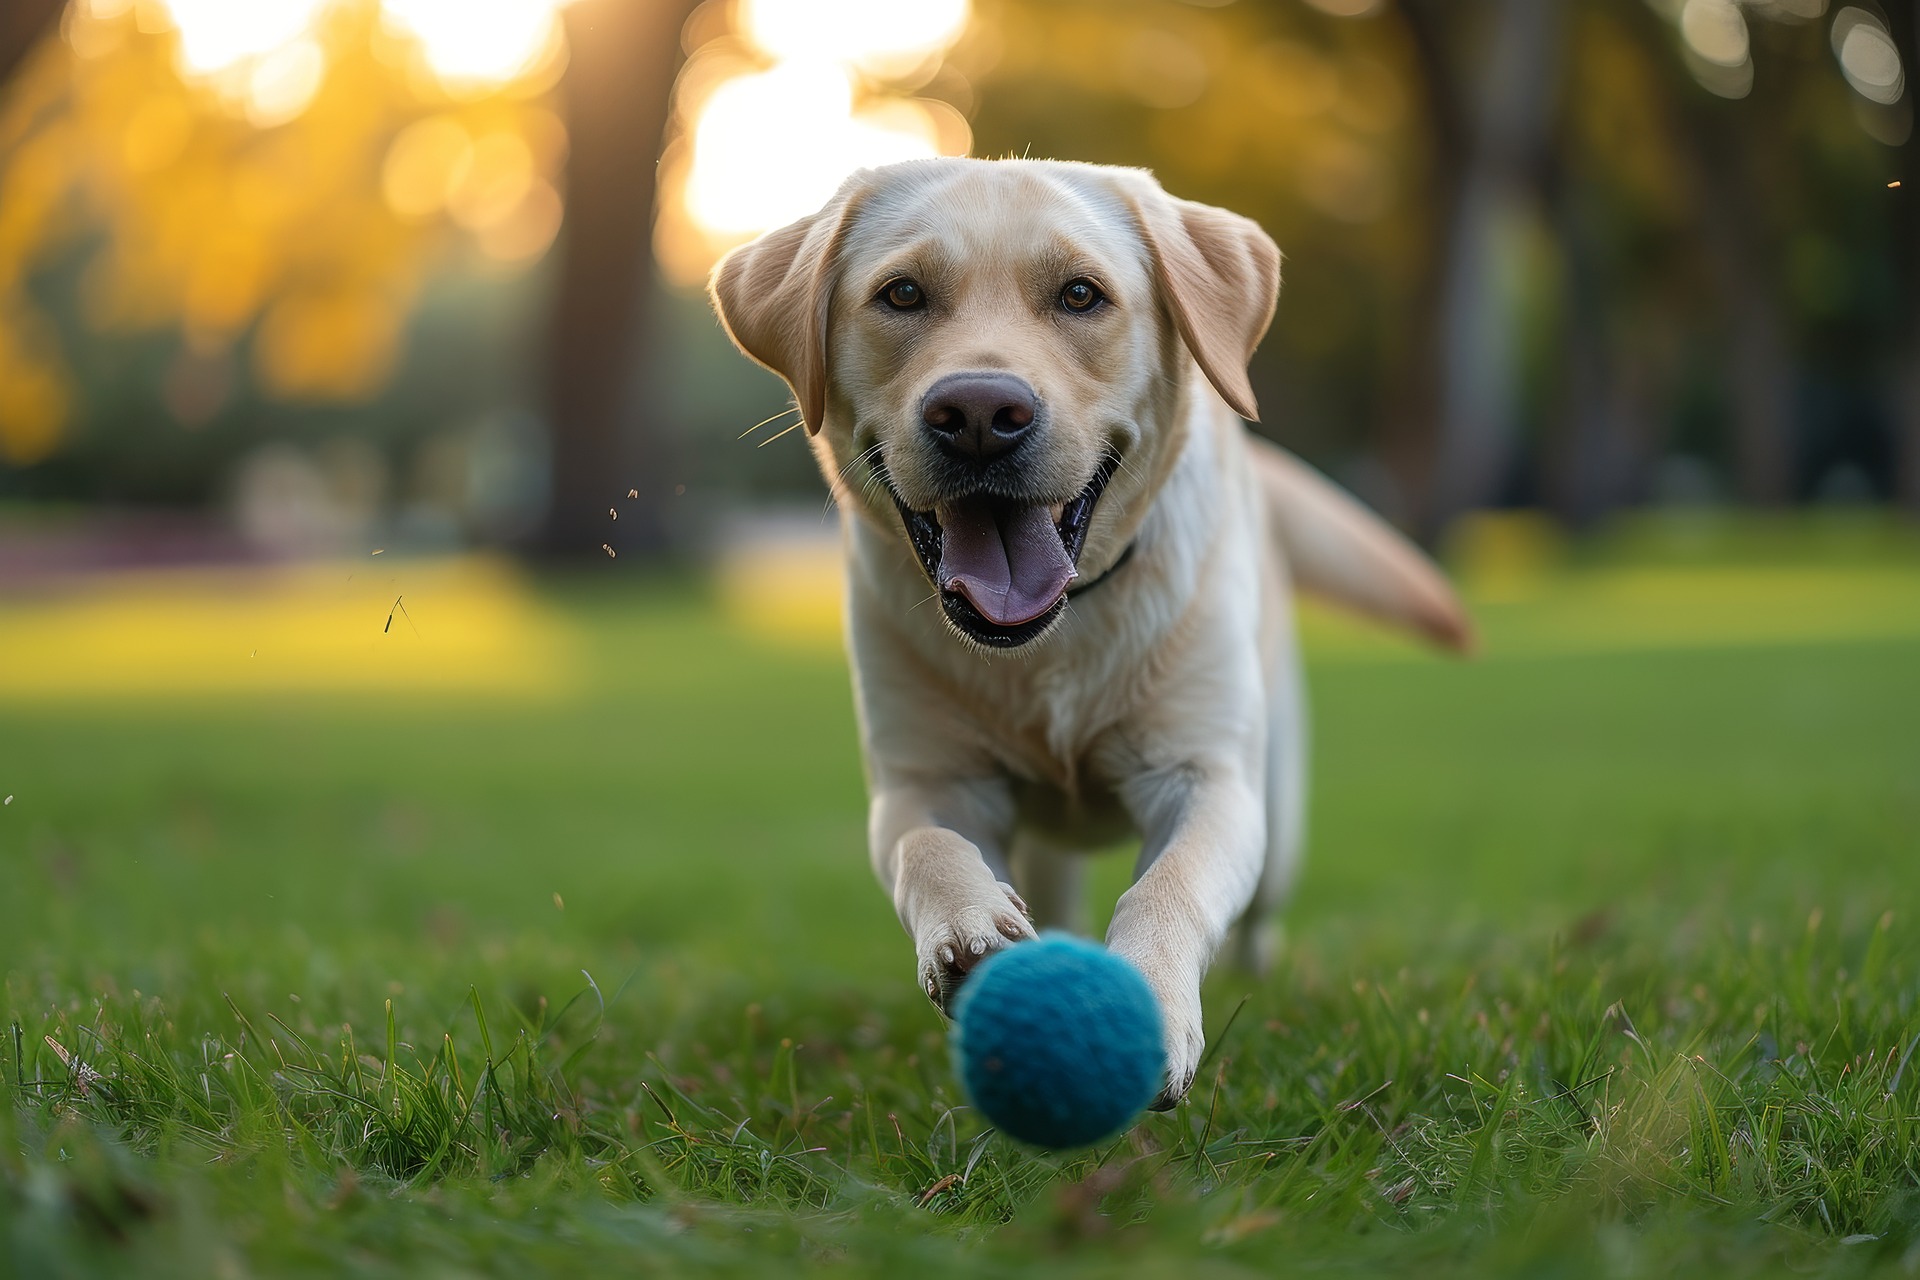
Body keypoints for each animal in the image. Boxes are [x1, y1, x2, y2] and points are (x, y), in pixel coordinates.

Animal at [710, 155, 1466, 1105]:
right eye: (902, 294)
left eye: (1080, 295)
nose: (979, 413)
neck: (1051, 639)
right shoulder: (924, 781)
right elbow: (929, 846)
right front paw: (968, 930)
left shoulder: (1207, 780)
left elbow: (1168, 886)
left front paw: (1150, 1003)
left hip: (1280, 808)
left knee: (1259, 912)